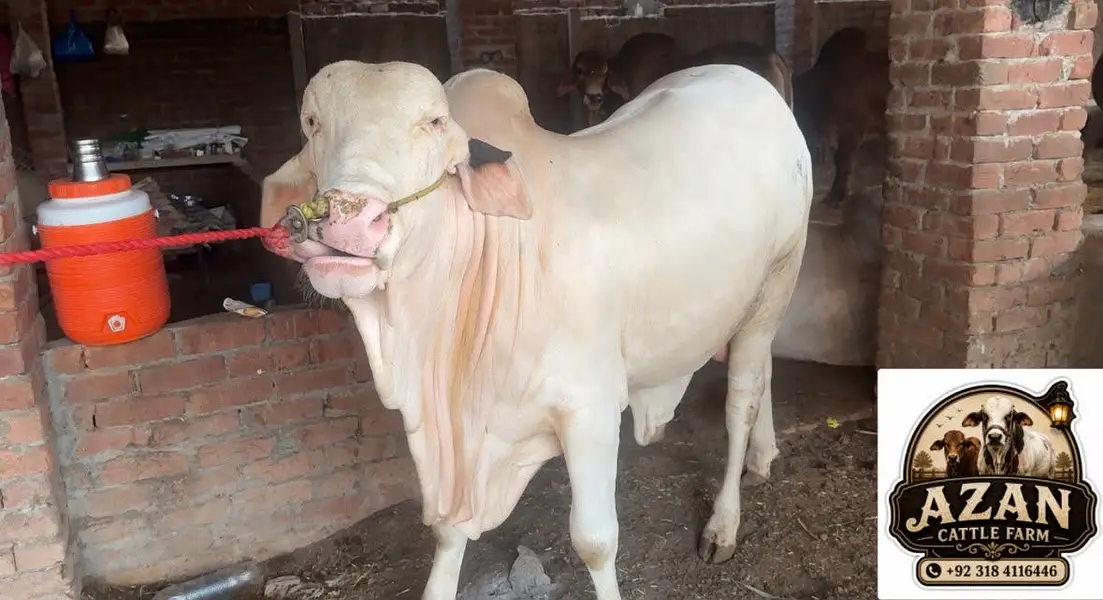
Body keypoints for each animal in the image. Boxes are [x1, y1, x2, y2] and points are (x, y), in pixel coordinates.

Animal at [260, 61, 813, 600]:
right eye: (312, 123)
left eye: (434, 123)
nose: (348, 218)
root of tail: (749, 77)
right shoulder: (464, 439)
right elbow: (449, 530)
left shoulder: (590, 409)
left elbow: (594, 541)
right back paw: (763, 456)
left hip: (777, 283)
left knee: (741, 401)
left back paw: (725, 521)